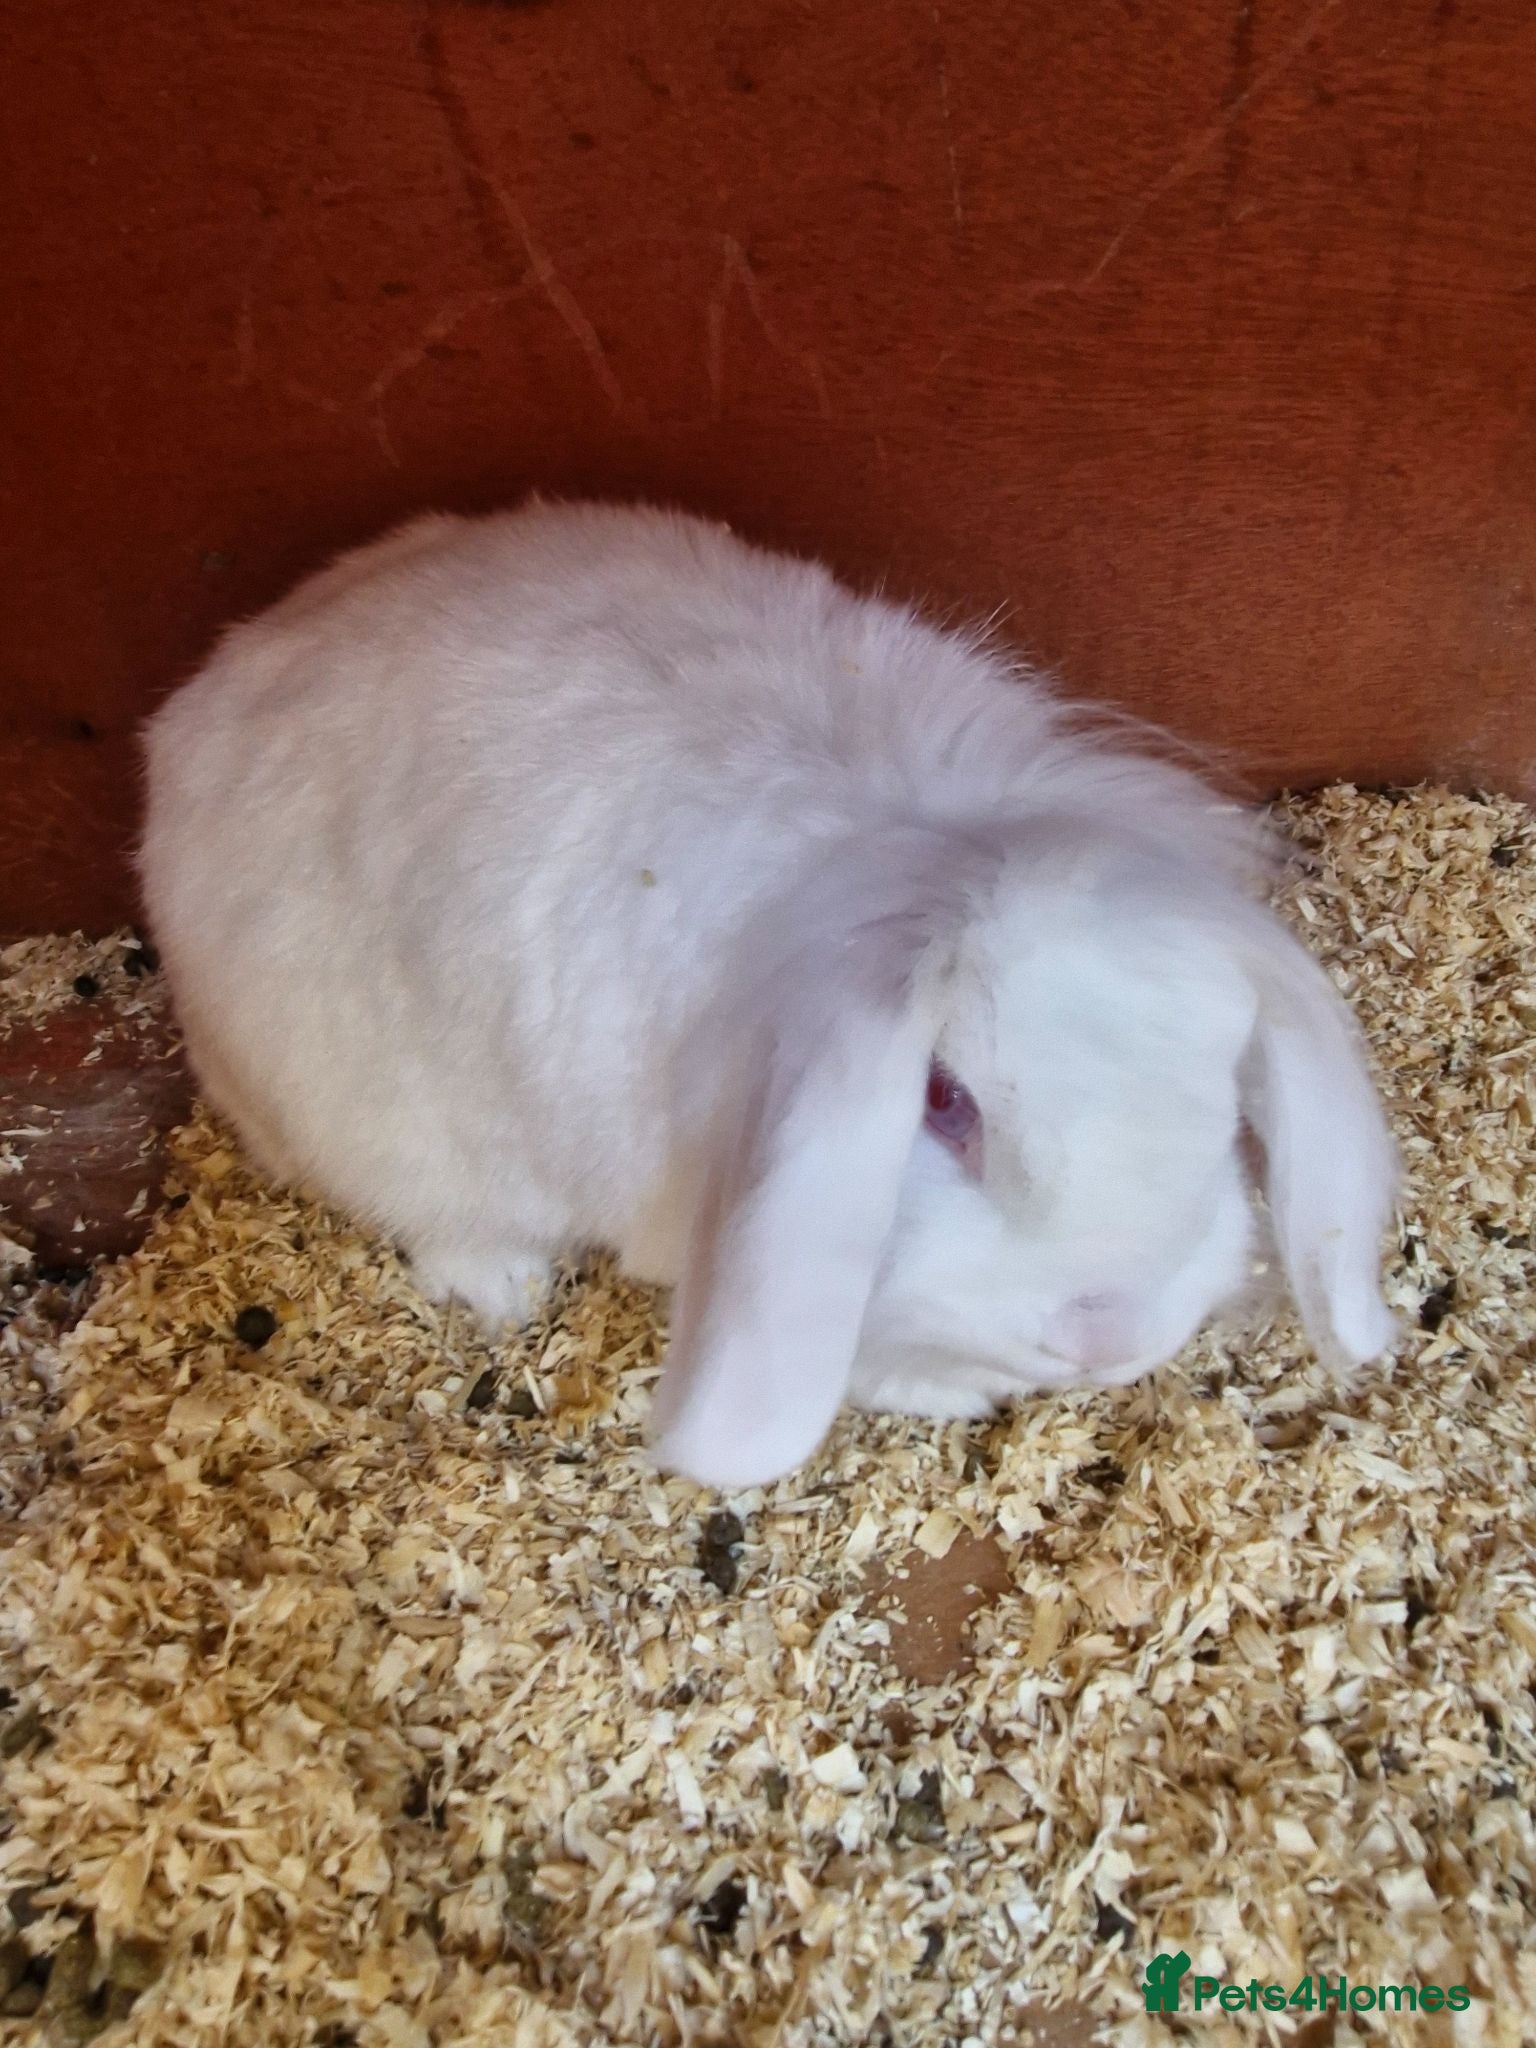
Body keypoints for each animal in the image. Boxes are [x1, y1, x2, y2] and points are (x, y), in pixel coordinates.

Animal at [138, 498, 1399, 1489]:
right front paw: (953, 1392)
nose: (1107, 1332)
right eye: (943, 1101)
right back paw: (500, 1281)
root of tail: (188, 720)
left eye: (1224, 1101)